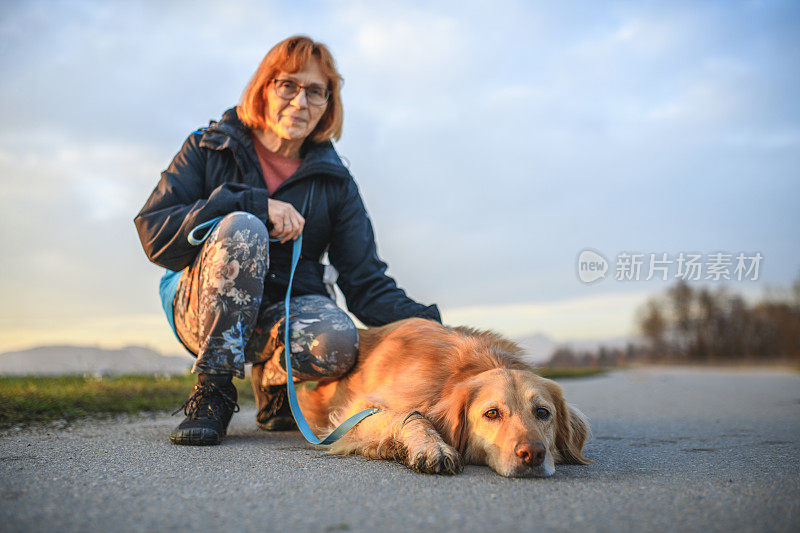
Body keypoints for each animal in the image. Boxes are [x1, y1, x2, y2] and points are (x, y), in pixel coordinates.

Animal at [292, 318, 588, 476]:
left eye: (542, 413)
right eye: (492, 413)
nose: (533, 454)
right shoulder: (359, 410)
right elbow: (411, 416)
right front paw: (432, 446)